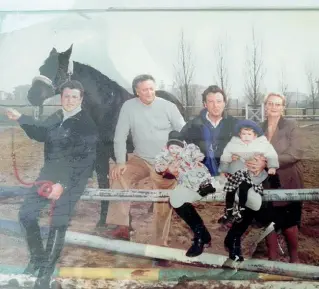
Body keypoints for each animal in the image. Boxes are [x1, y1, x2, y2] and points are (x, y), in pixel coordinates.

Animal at [27, 44, 186, 226]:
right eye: (42, 68)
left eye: (59, 69)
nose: (32, 96)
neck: (107, 110)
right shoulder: (99, 155)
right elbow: (104, 185)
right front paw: (102, 221)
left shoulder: (119, 154)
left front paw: (127, 222)